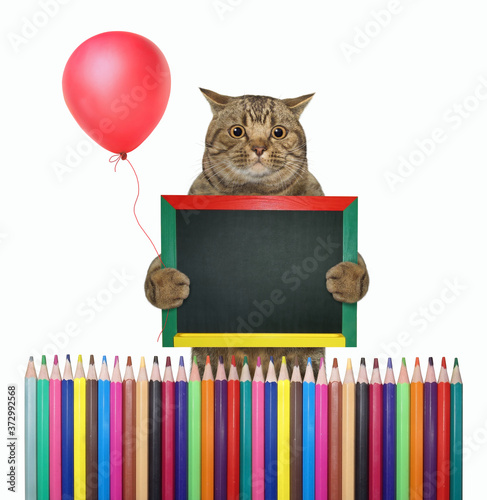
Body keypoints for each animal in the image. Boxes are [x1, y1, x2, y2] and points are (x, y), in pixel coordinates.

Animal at [145, 89, 370, 376]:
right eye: (237, 131)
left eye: (278, 132)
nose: (259, 148)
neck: (255, 192)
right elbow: (153, 269)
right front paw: (166, 286)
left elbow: (362, 266)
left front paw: (348, 280)